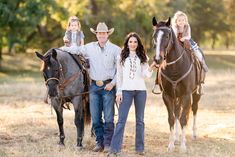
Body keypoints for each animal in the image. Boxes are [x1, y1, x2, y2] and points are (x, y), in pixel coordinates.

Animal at [151, 17, 203, 152]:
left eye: (167, 36)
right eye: (154, 36)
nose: (158, 59)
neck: (175, 68)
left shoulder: (186, 95)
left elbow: (184, 118)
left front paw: (183, 147)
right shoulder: (167, 96)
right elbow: (171, 118)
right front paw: (171, 145)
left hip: (195, 94)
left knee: (194, 109)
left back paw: (194, 134)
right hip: (176, 97)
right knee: (177, 113)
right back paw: (176, 138)